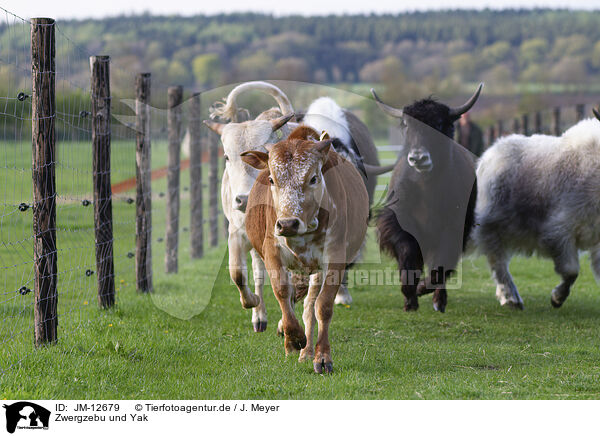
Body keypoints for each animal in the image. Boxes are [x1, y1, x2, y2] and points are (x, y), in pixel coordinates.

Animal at [241, 127, 368, 374]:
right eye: (272, 179)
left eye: (313, 178)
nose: (288, 224)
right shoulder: (272, 252)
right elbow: (282, 292)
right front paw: (293, 337)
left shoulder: (334, 259)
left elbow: (323, 306)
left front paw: (322, 357)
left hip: (316, 271)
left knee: (309, 306)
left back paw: (307, 351)